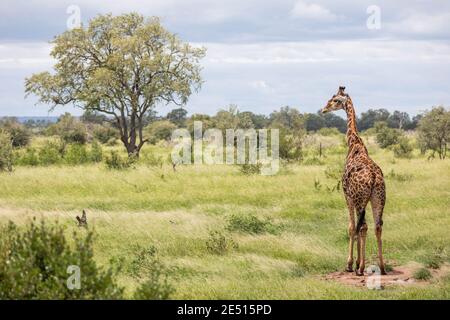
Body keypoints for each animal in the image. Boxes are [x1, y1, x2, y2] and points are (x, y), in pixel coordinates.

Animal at [320, 86, 386, 276]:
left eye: (335, 100)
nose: (323, 109)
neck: (353, 143)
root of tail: (374, 178)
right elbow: (357, 227)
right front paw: (356, 263)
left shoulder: (347, 195)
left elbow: (351, 227)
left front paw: (351, 264)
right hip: (378, 198)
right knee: (377, 226)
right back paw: (382, 267)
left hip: (359, 199)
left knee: (362, 226)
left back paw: (362, 268)